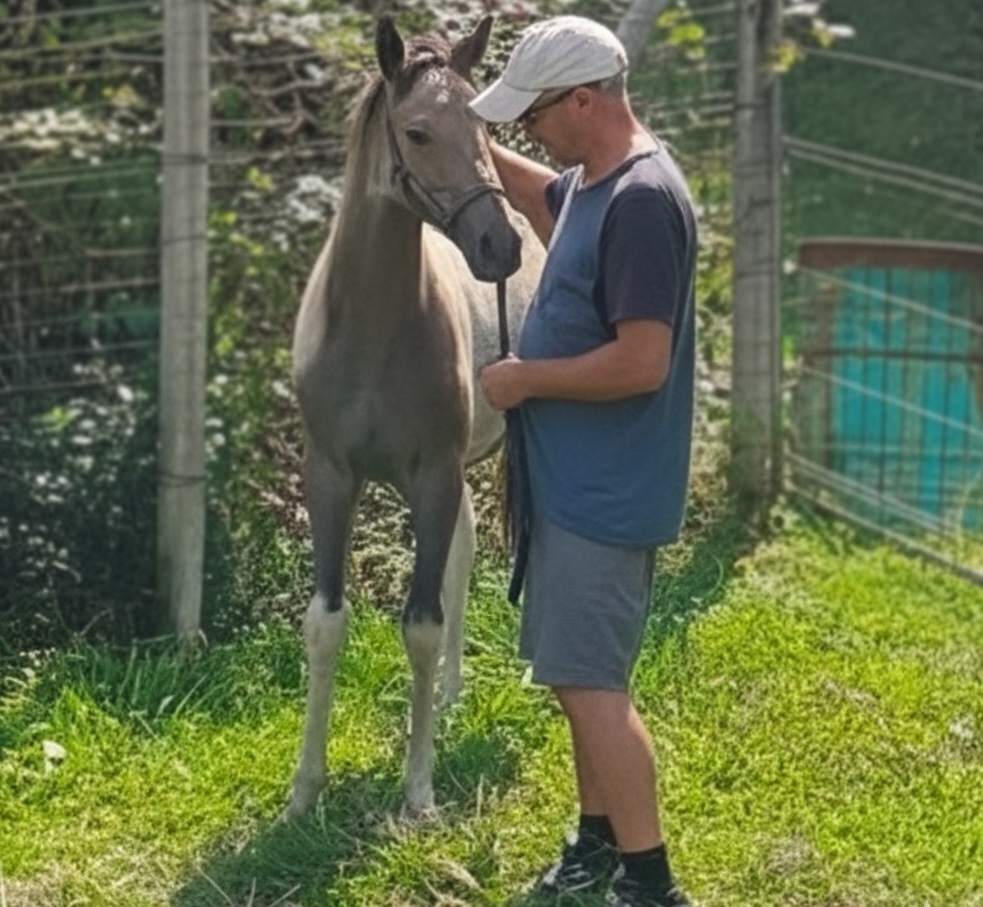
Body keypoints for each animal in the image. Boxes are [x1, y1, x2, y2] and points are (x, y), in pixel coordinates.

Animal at [286, 15, 544, 818]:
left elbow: (421, 626)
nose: (499, 244)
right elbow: (325, 623)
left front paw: (419, 790)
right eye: (418, 132)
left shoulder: (432, 475)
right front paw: (303, 790)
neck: (374, 328)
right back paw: (455, 694)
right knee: (463, 550)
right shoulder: (330, 477)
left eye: (483, 129)